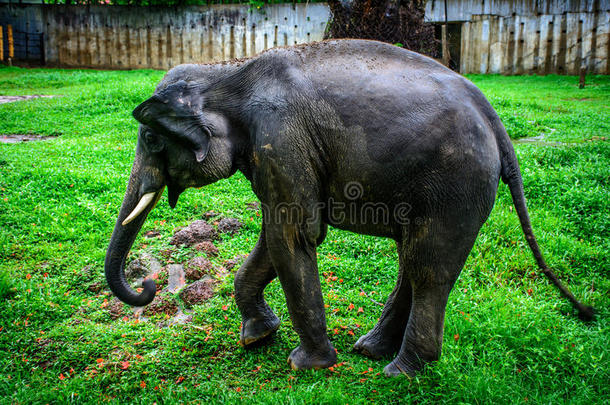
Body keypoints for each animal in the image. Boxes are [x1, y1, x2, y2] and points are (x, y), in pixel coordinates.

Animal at [105, 38, 592, 376]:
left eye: (150, 138)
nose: (147, 285)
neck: (227, 71)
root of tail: (495, 121)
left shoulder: (282, 136)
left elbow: (294, 234)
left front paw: (306, 364)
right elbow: (276, 235)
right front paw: (258, 338)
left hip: (456, 183)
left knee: (427, 268)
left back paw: (402, 370)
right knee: (412, 260)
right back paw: (370, 350)